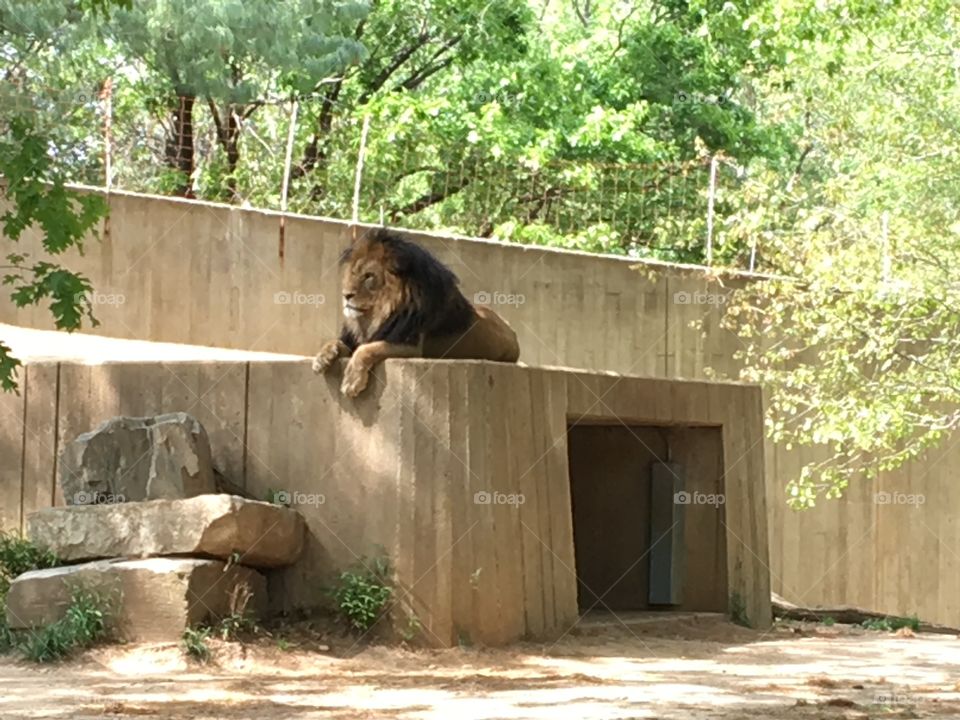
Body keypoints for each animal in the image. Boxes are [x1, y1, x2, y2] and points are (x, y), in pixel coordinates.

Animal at [312, 228, 520, 396]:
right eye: (354, 273)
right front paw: (322, 358)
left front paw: (351, 382)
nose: (346, 295)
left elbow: (367, 349)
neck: (377, 314)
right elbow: (337, 342)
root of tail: (513, 331)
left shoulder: (410, 346)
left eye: (369, 276)